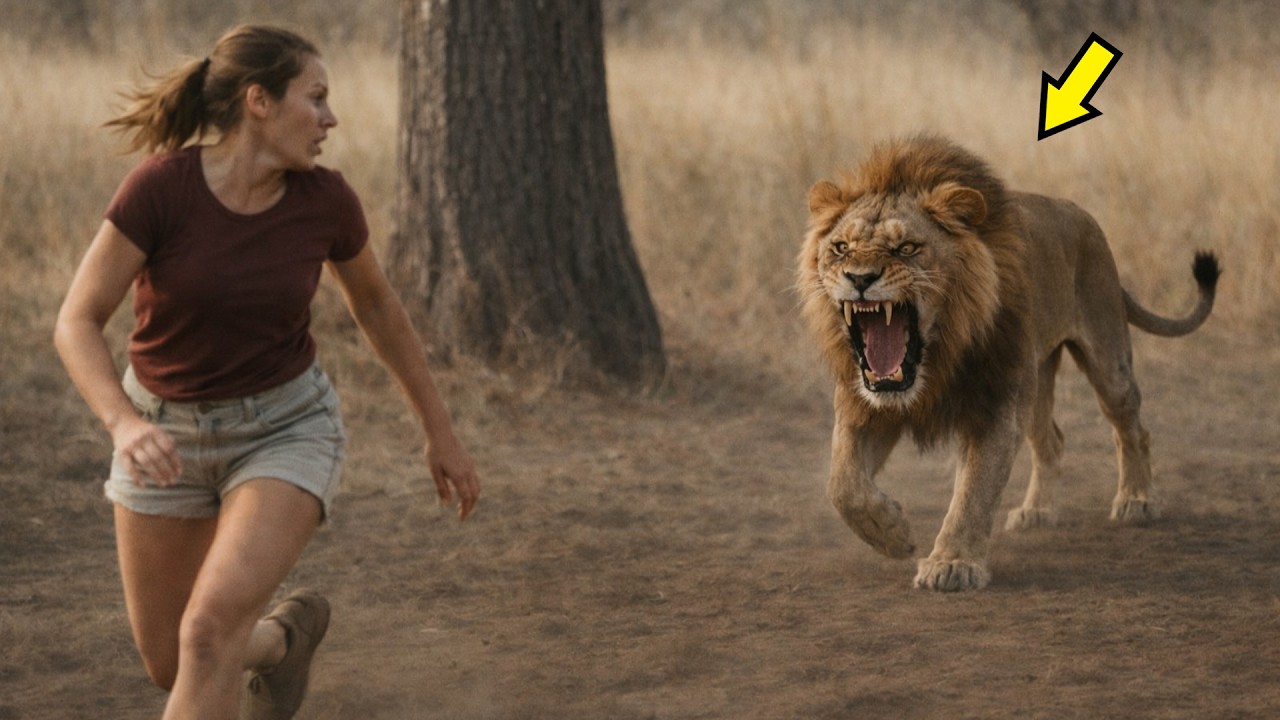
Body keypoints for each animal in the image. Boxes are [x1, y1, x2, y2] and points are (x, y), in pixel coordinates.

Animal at [797, 136, 1219, 591]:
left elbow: (973, 492)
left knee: (1132, 428)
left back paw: (1137, 500)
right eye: (841, 248)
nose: (859, 278)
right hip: (1035, 382)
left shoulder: (996, 405)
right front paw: (893, 534)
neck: (937, 357)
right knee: (1052, 440)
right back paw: (1038, 511)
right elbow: (842, 484)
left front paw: (952, 564)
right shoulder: (863, 406)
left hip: (1107, 362)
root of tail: (1081, 214)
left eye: (906, 248)